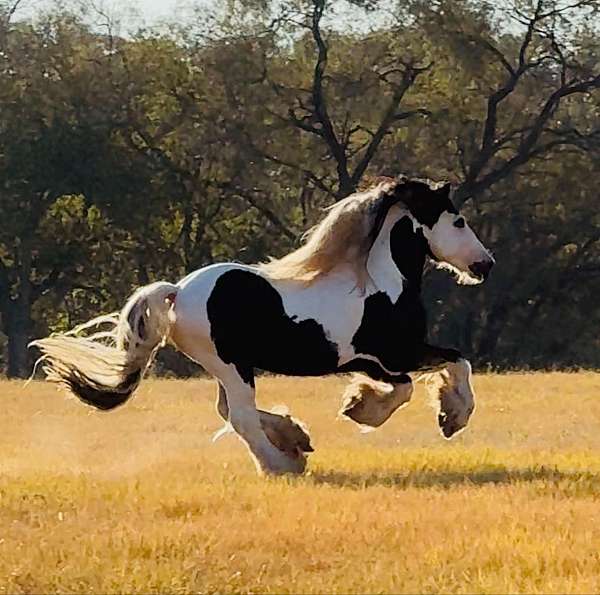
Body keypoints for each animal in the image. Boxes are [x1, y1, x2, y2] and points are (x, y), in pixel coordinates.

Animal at [30, 176, 494, 474]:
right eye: (458, 221)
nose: (484, 265)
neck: (380, 282)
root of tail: (177, 290)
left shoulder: (375, 361)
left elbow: (407, 385)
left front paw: (358, 406)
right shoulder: (396, 353)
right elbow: (453, 364)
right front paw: (449, 418)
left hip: (228, 368)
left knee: (231, 411)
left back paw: (294, 439)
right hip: (232, 366)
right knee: (240, 416)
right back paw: (282, 464)